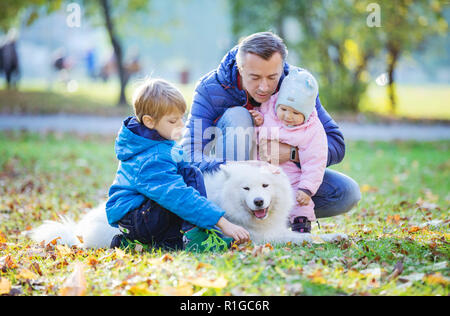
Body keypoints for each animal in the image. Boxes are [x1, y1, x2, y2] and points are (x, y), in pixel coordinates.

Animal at [30, 162, 348, 248]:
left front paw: (338, 235)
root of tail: (78, 231)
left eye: (265, 187)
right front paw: (330, 237)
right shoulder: (263, 238)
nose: (258, 201)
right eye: (246, 189)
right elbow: (303, 238)